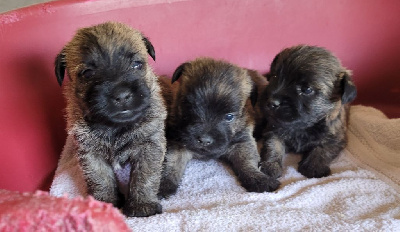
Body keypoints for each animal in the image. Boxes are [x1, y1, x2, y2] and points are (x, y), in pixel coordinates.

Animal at [54, 21, 166, 218]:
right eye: (87, 73)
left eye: (136, 64)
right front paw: (106, 203)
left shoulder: (149, 147)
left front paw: (142, 205)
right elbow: (100, 178)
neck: (114, 127)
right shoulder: (91, 153)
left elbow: (145, 176)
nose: (122, 95)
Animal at [158, 57, 280, 197]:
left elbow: (247, 162)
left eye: (229, 116)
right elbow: (171, 163)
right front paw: (163, 184)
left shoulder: (243, 142)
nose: (204, 140)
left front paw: (258, 179)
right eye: (189, 106)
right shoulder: (177, 143)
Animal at [258, 44, 358, 181]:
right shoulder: (273, 130)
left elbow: (323, 148)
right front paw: (270, 165)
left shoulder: (336, 138)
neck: (303, 127)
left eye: (306, 89)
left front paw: (313, 167)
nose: (272, 102)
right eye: (274, 77)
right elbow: (273, 146)